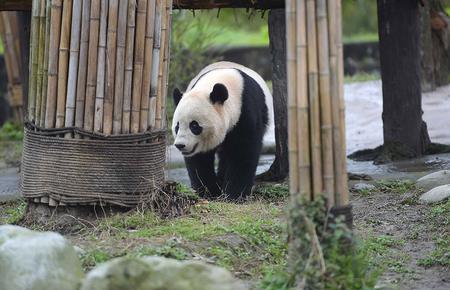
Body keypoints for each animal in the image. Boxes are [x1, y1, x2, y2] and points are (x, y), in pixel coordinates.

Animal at [172, 61, 272, 201]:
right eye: (177, 126)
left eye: (194, 126)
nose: (180, 145)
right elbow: (199, 161)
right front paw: (208, 192)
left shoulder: (245, 112)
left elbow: (243, 153)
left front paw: (234, 195)